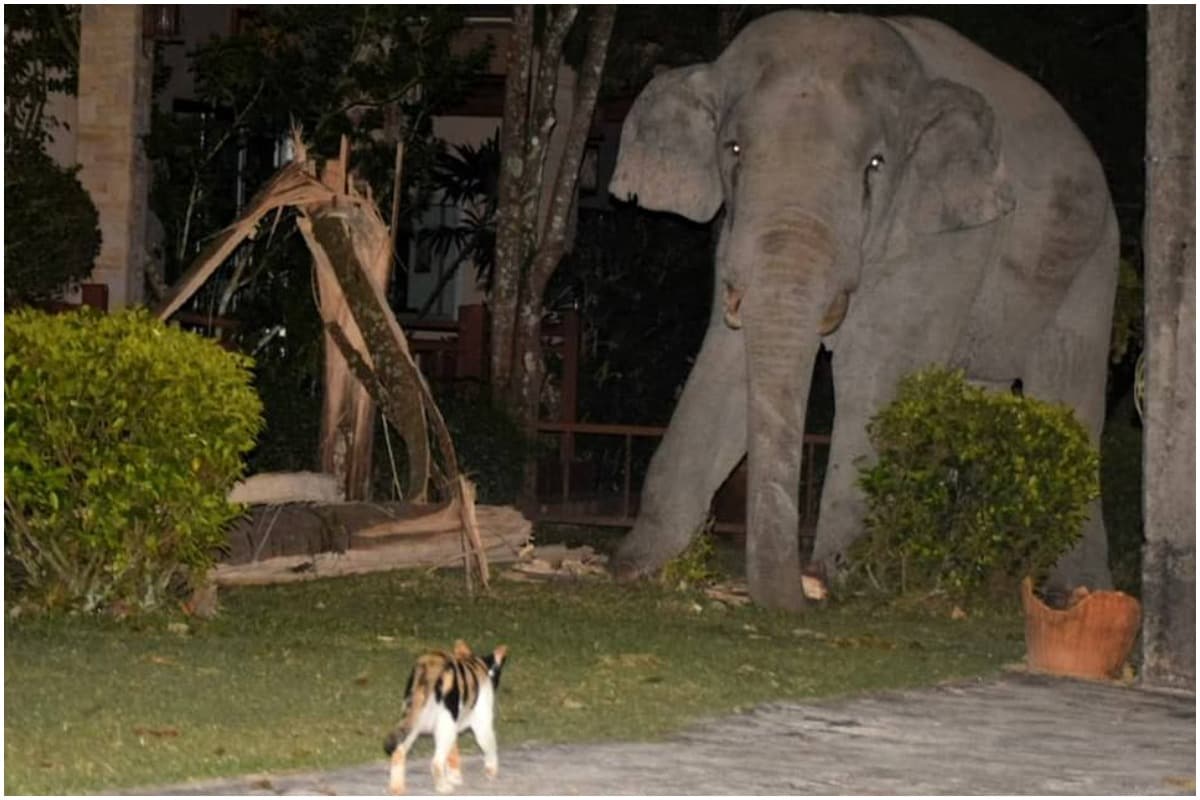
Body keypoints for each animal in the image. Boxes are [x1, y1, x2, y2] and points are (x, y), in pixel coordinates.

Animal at [384, 638, 506, 796]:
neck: (478, 664)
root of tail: (430, 665)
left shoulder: (451, 728)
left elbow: (453, 756)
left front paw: (455, 778)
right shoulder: (482, 724)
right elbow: (490, 747)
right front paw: (492, 771)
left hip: (413, 723)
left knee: (398, 752)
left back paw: (397, 788)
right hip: (445, 725)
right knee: (436, 762)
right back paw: (443, 787)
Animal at [614, 9, 1118, 609]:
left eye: (875, 165)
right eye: (732, 150)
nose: (801, 593)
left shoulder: (945, 238)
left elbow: (874, 373)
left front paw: (846, 579)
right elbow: (727, 361)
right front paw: (639, 565)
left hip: (1092, 264)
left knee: (1069, 389)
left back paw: (1076, 591)